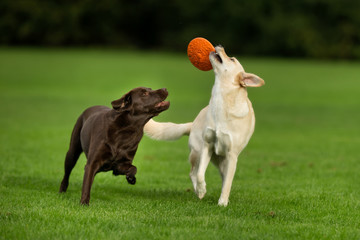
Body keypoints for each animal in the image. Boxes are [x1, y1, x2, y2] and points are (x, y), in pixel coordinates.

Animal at [143, 46, 264, 206]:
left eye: (232, 59)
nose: (220, 46)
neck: (220, 99)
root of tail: (192, 123)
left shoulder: (232, 156)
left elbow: (227, 183)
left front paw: (222, 203)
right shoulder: (207, 146)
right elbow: (201, 174)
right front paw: (201, 190)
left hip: (222, 162)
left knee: (223, 178)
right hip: (197, 152)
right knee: (193, 172)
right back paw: (198, 191)